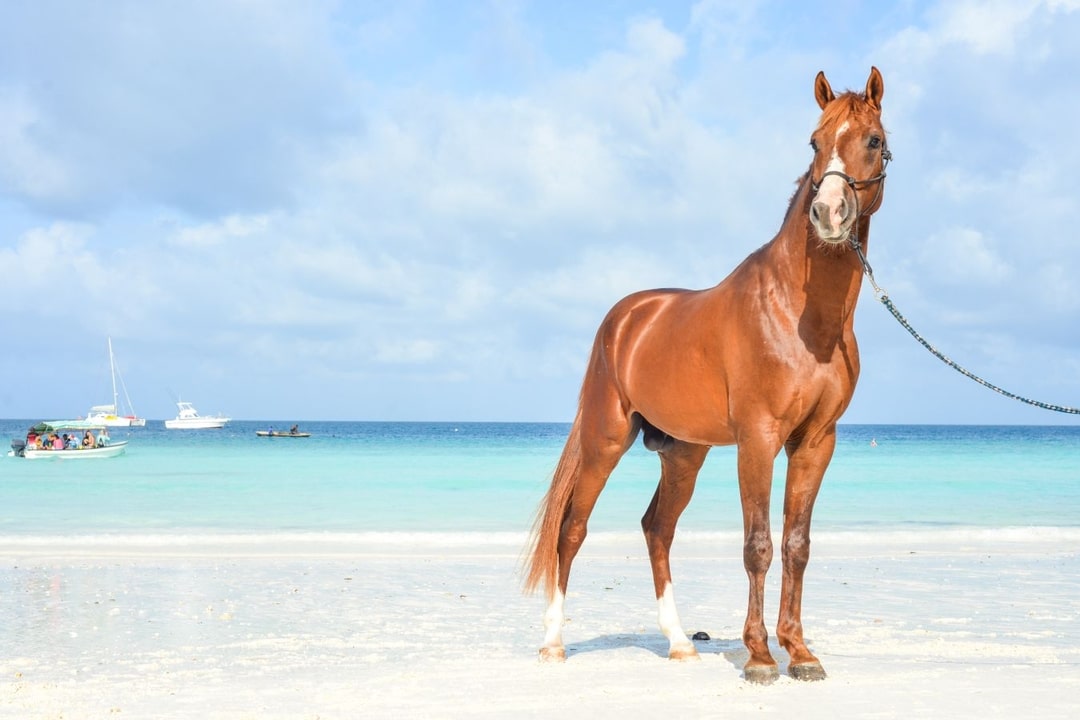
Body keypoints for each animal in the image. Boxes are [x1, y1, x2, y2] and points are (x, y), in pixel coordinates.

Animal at [524, 67, 890, 684]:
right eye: (814, 142)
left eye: (871, 140)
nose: (828, 214)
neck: (799, 312)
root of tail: (625, 318)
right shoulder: (758, 439)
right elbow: (758, 544)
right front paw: (761, 656)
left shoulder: (816, 441)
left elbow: (796, 544)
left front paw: (800, 652)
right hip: (604, 438)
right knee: (571, 529)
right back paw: (553, 643)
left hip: (683, 454)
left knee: (657, 528)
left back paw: (678, 642)